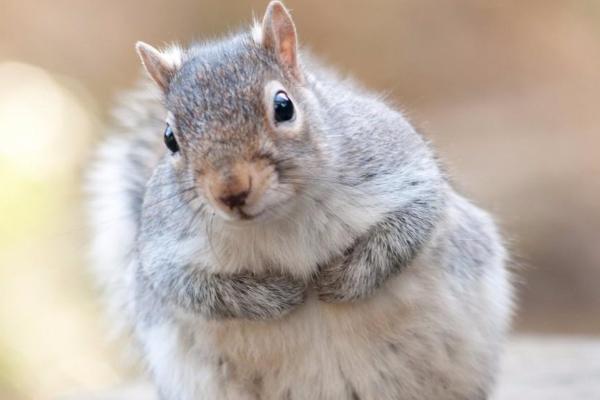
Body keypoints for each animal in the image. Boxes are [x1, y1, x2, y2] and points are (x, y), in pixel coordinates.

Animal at [86, 1, 512, 398]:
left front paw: (341, 280)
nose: (231, 191)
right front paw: (276, 296)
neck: (280, 216)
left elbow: (409, 226)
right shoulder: (164, 248)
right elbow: (190, 287)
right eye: (169, 138)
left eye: (284, 106)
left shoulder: (405, 171)